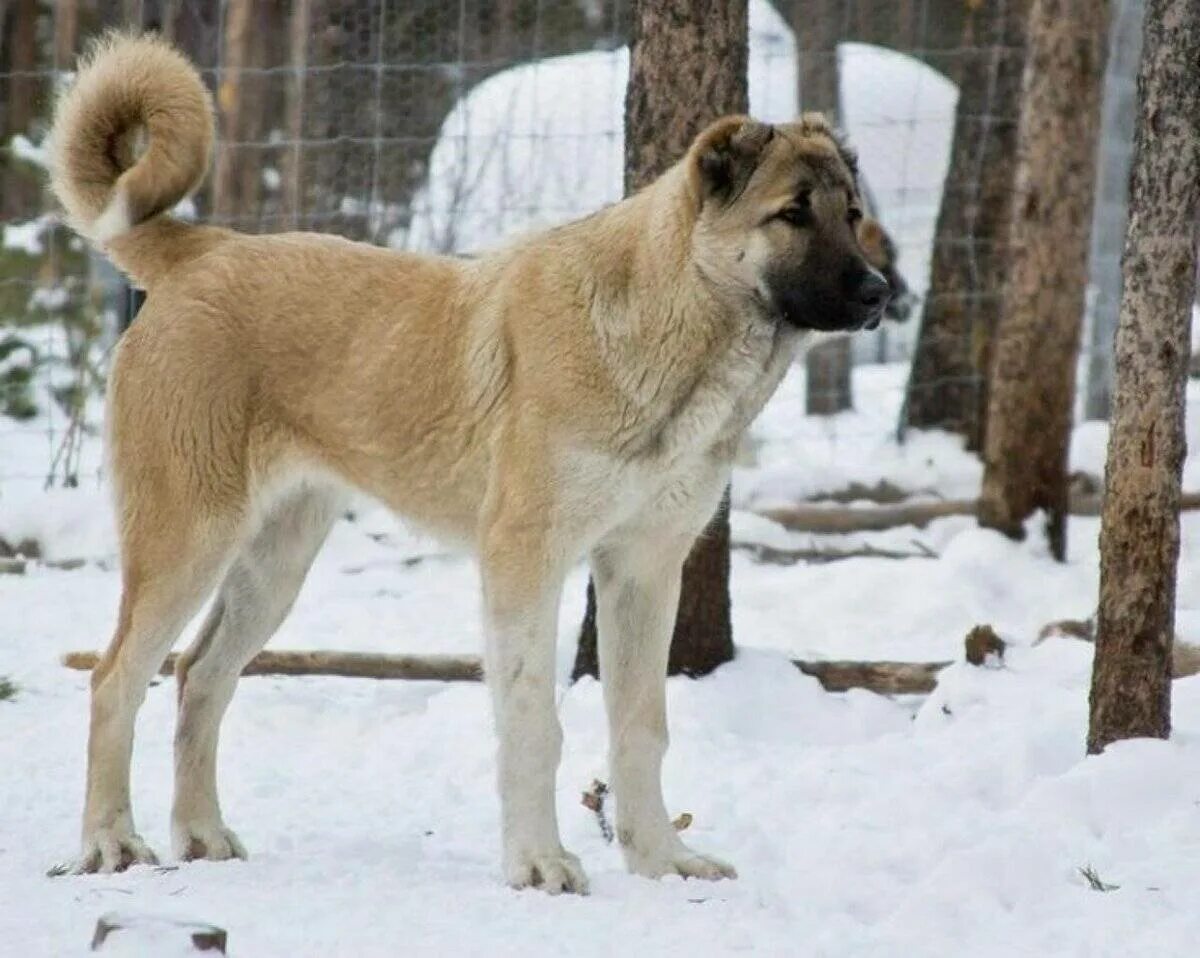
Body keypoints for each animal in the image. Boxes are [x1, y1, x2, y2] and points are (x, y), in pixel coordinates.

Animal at [51, 33, 888, 897]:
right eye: (792, 213)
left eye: (853, 214)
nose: (879, 292)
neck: (668, 327)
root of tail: (205, 248)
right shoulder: (526, 557)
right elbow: (534, 720)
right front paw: (539, 863)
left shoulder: (643, 568)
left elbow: (641, 728)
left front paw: (660, 861)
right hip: (187, 541)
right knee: (115, 680)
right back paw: (111, 843)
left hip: (274, 565)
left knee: (200, 676)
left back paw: (203, 835)